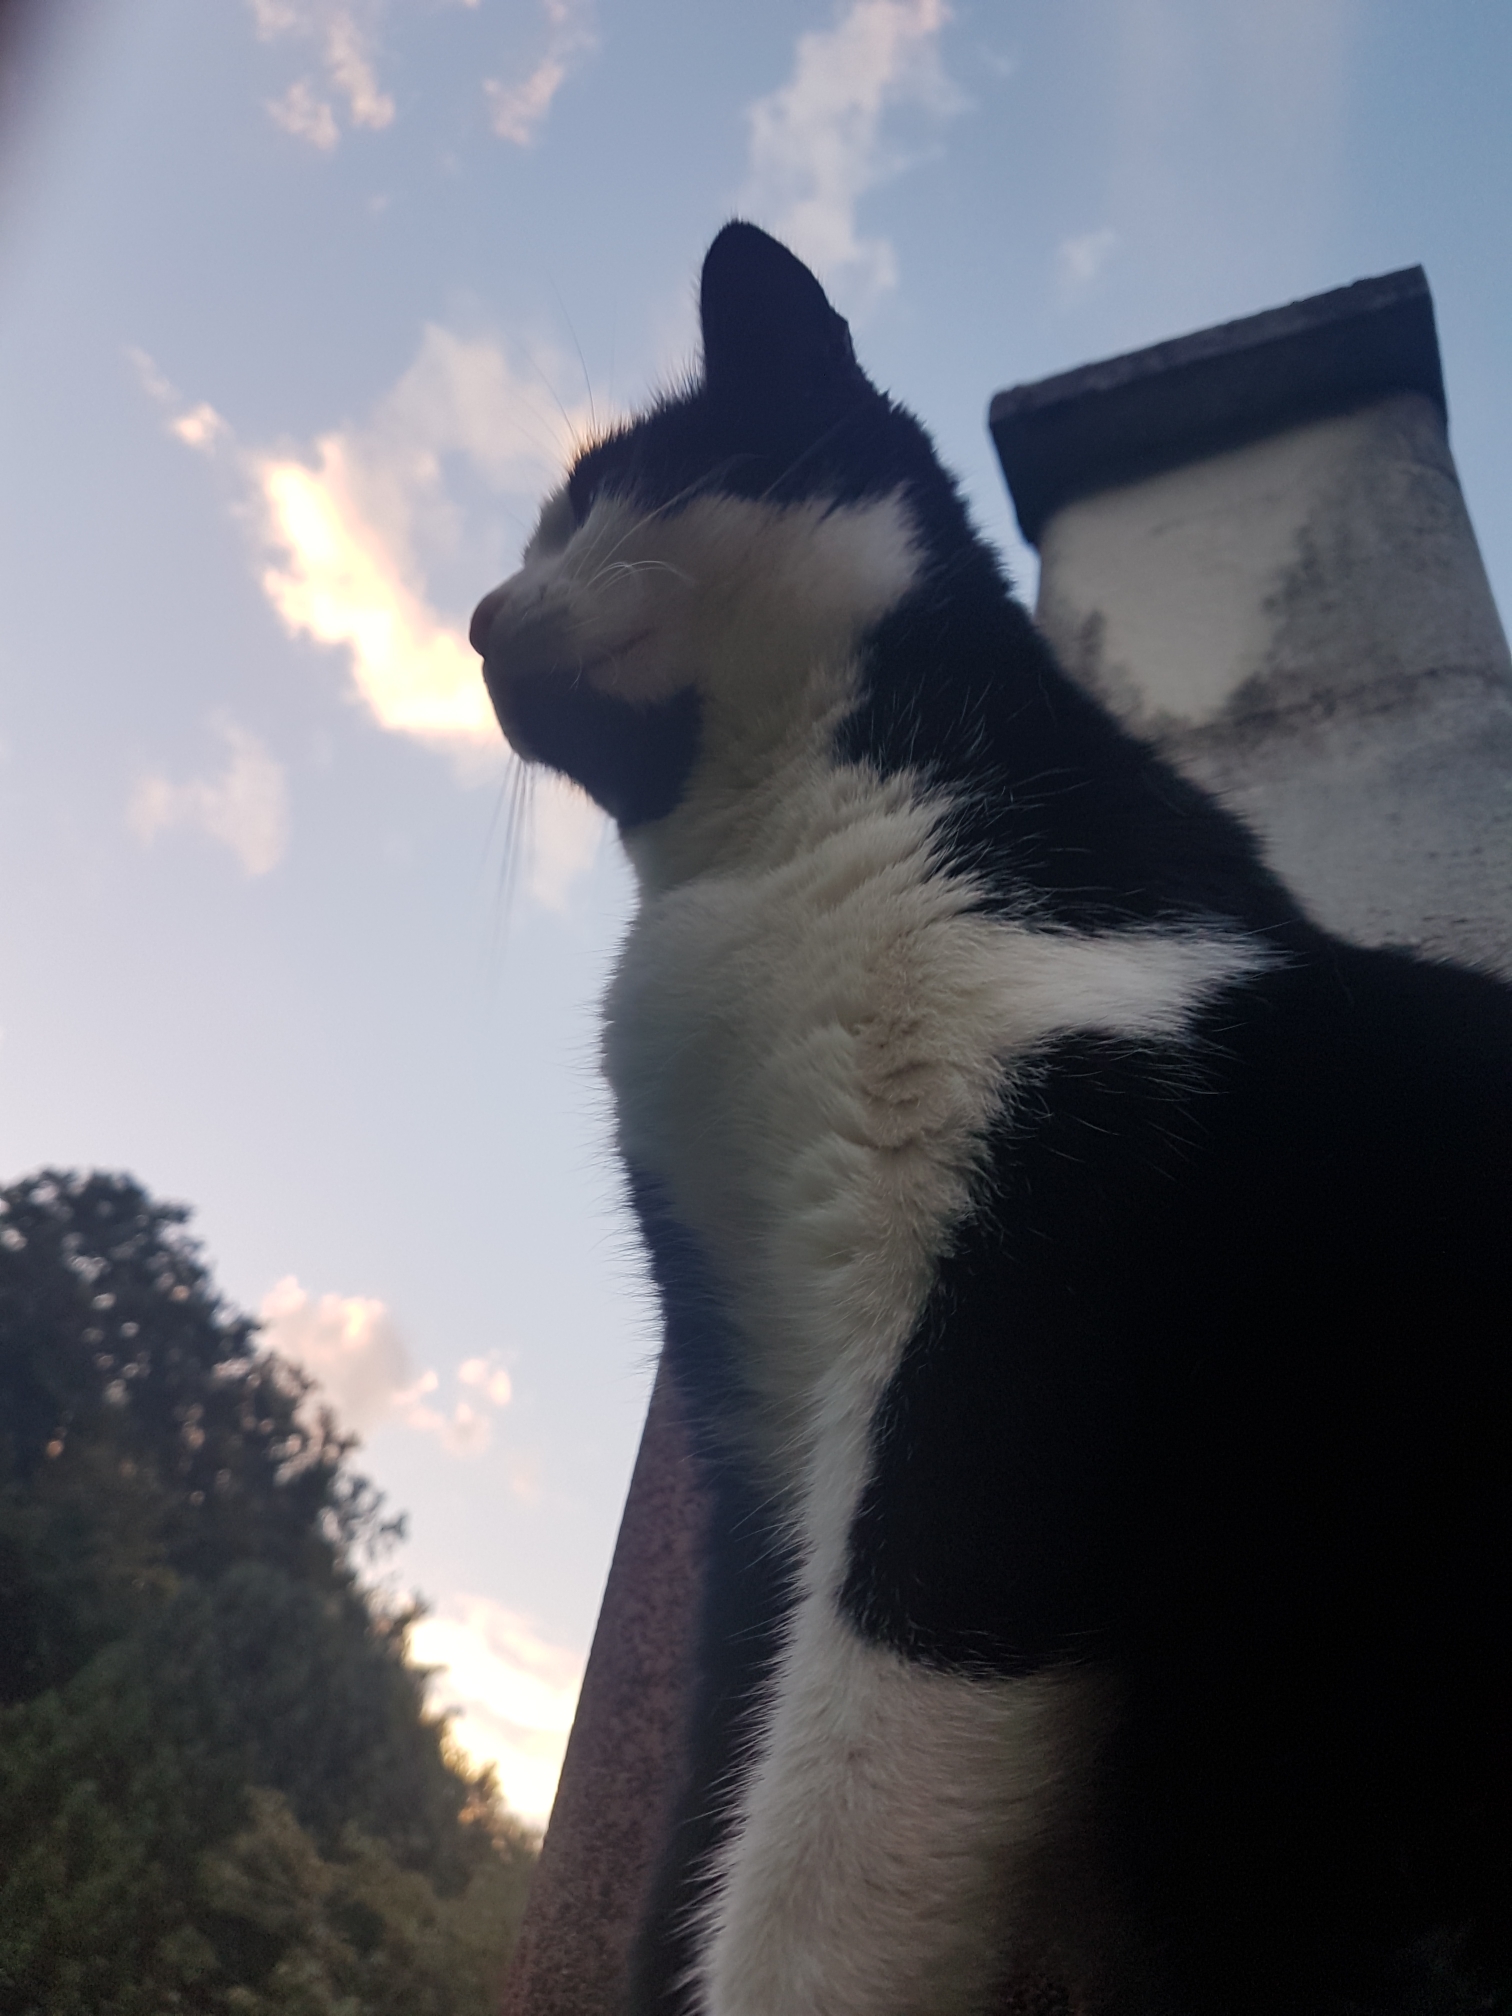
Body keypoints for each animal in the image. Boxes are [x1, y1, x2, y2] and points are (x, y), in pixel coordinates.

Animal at [470, 223, 1512, 2016]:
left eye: (592, 498)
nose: (472, 617)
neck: (746, 861)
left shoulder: (1020, 1315)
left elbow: (833, 1842)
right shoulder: (752, 1423)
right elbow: (715, 1788)